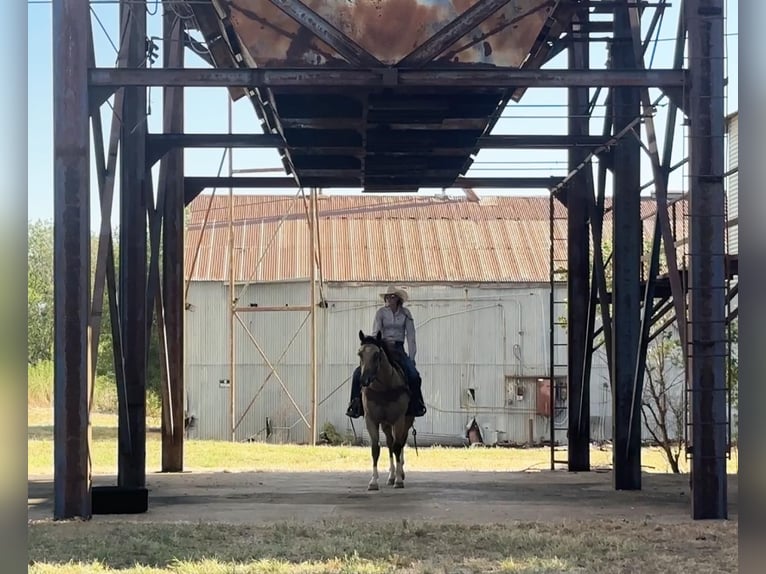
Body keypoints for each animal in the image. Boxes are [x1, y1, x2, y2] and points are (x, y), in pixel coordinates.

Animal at [358, 330, 416, 492]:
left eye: (377, 354)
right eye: (360, 353)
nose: (364, 380)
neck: (384, 388)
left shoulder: (399, 420)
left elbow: (398, 446)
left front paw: (399, 480)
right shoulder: (371, 420)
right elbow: (375, 449)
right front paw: (373, 482)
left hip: (406, 422)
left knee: (400, 443)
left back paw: (399, 473)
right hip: (386, 424)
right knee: (390, 443)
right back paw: (391, 476)